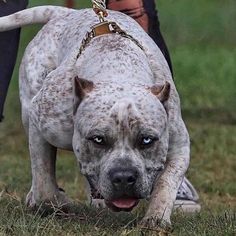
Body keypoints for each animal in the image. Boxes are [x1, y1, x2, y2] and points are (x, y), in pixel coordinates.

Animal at [0, 6, 190, 230]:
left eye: (147, 140)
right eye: (98, 139)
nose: (124, 177)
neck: (118, 72)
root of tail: (66, 12)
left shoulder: (179, 146)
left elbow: (166, 181)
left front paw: (157, 217)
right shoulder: (40, 120)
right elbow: (43, 174)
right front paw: (53, 201)